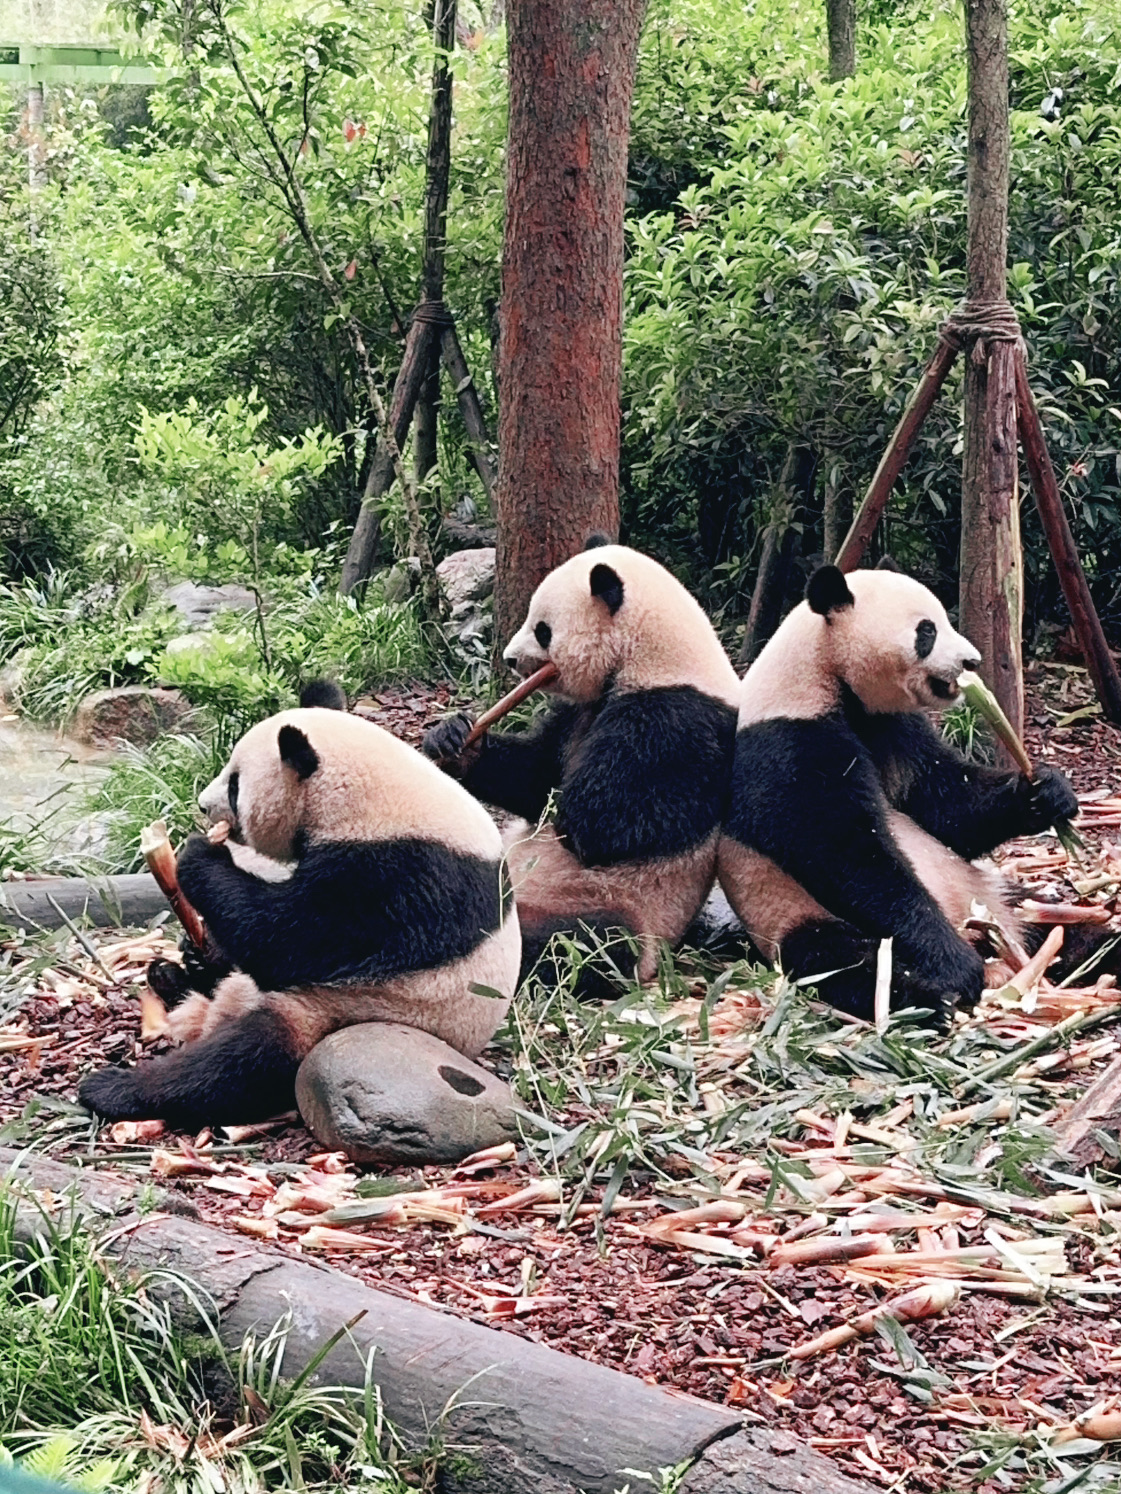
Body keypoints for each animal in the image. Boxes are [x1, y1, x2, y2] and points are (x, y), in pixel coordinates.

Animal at [78, 705, 520, 1128]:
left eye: (235, 784)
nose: (203, 805)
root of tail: (210, 1018)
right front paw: (196, 947)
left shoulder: (403, 878)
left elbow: (293, 940)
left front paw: (198, 855)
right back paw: (173, 975)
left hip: (342, 1013)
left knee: (244, 1060)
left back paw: (115, 1087)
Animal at [423, 539, 741, 988]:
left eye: (543, 629)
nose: (510, 659)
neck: (654, 655)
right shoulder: (577, 714)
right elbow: (534, 779)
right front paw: (454, 739)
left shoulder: (678, 721)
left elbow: (599, 822)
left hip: (614, 906)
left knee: (581, 942)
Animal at [718, 562, 1080, 1022]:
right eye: (927, 631)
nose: (972, 661)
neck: (824, 672)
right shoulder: (791, 743)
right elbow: (850, 856)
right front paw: (954, 965)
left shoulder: (895, 729)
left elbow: (949, 807)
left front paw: (1047, 792)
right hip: (789, 912)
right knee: (851, 963)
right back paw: (937, 993)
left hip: (1000, 899)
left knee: (1060, 924)